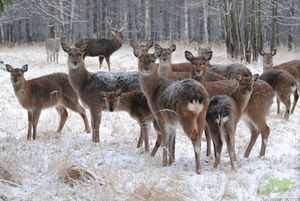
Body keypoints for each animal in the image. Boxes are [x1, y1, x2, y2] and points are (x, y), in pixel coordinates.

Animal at [133, 46, 209, 174]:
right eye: (141, 59)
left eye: (153, 60)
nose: (146, 69)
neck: (152, 92)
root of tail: (197, 95)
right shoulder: (172, 122)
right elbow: (170, 141)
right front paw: (171, 162)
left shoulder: (161, 117)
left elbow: (164, 139)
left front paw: (163, 164)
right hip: (202, 115)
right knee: (199, 136)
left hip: (186, 116)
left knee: (195, 138)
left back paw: (198, 169)